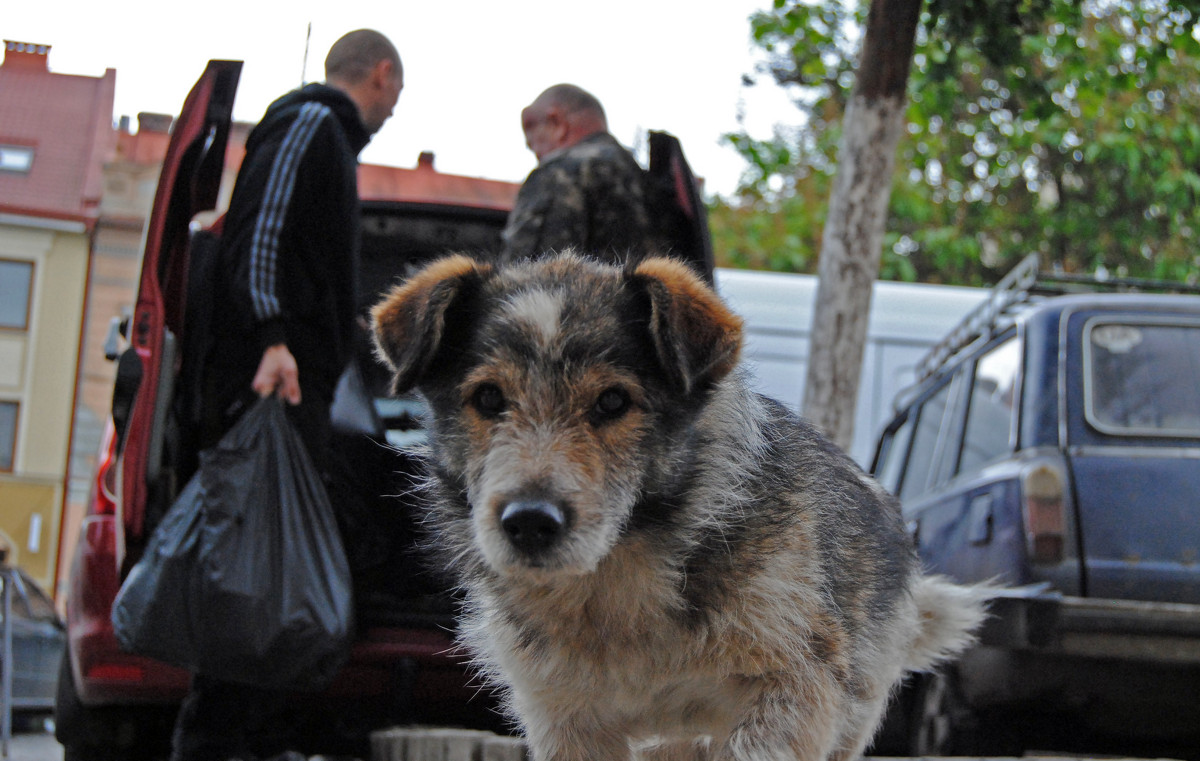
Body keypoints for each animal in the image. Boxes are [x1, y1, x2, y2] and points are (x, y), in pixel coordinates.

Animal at [369, 252, 988, 753]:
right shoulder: (562, 718)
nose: (529, 522)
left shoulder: (797, 688)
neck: (616, 586)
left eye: (612, 401)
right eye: (489, 398)